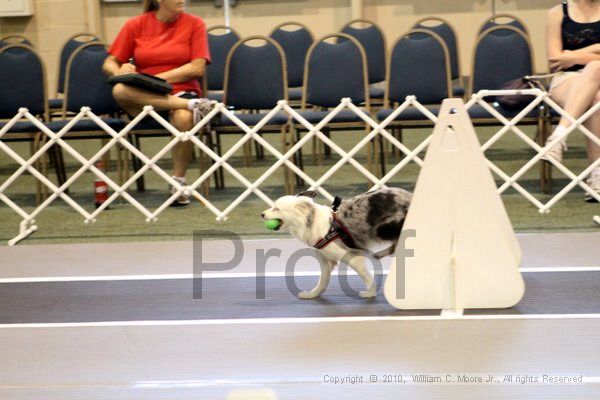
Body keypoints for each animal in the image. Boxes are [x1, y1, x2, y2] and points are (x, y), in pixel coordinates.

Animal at [260, 189, 410, 298]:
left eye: (276, 209)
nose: (261, 214)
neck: (310, 222)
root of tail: (409, 196)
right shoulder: (326, 258)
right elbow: (323, 279)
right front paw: (312, 294)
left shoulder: (348, 256)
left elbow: (364, 274)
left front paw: (370, 292)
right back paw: (379, 254)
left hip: (383, 229)